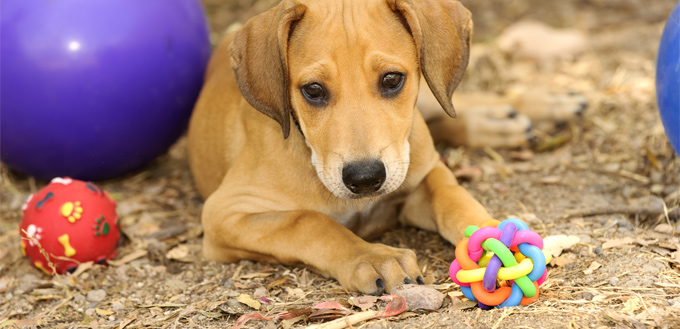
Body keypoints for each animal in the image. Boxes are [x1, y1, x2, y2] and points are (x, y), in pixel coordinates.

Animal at [186, 0, 494, 294]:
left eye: (392, 79)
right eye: (313, 90)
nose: (365, 178)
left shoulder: (425, 173)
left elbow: (451, 196)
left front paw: (488, 233)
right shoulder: (224, 213)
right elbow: (311, 221)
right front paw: (373, 257)